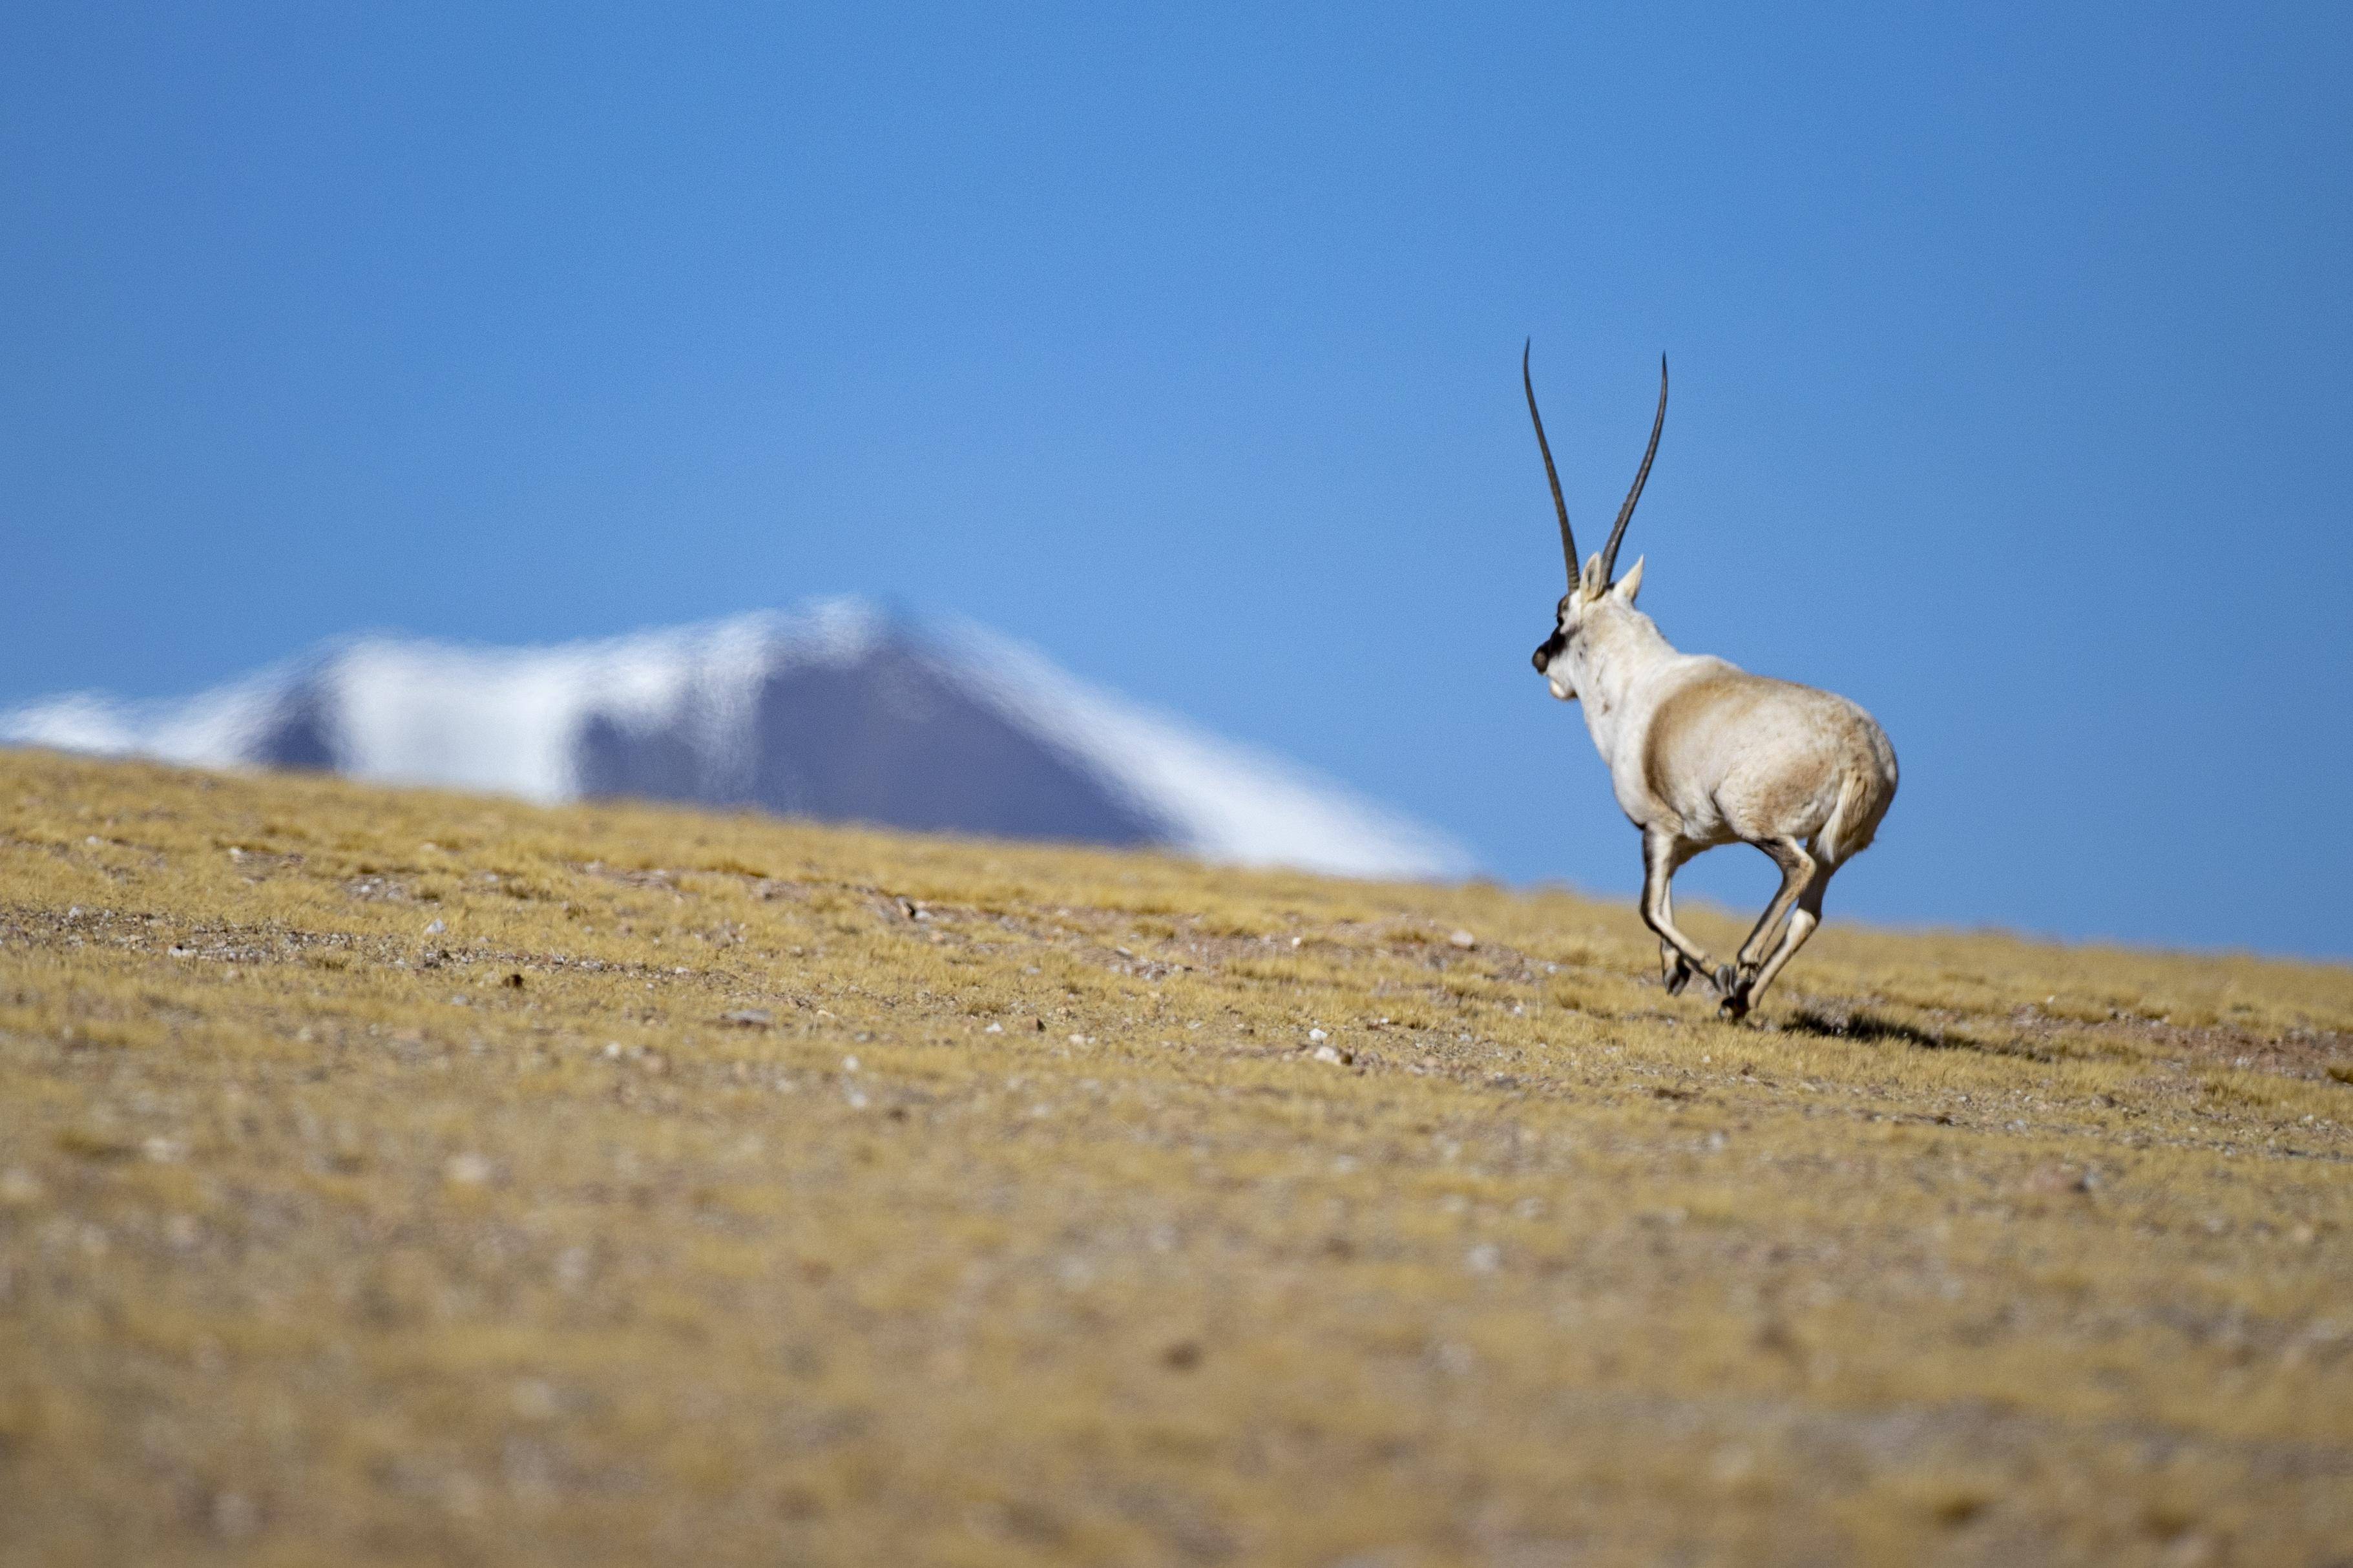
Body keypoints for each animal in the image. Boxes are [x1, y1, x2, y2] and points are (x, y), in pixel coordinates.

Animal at [1515, 344, 1901, 1021]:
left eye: (1561, 613)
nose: (1539, 659)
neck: (1638, 678)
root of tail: (1864, 755)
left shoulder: (1657, 828)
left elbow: (1648, 907)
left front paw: (1700, 965)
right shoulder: (1687, 838)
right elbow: (1664, 901)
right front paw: (1676, 969)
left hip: (1757, 822)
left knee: (1797, 870)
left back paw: (1739, 969)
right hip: (1835, 847)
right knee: (1810, 912)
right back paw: (1740, 1001)